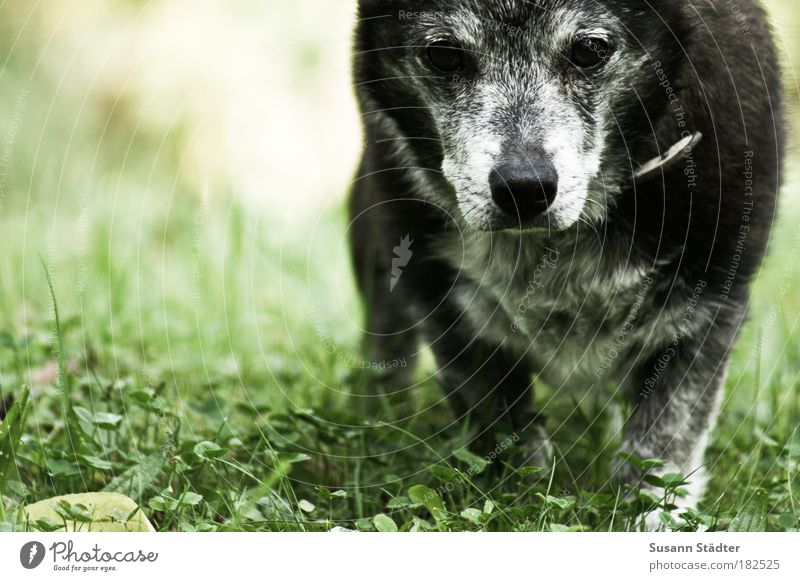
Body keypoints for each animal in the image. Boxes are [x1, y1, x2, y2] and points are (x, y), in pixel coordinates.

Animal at [348, 0, 780, 508]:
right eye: (445, 55)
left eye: (589, 50)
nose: (523, 188)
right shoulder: (443, 300)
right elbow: (502, 424)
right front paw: (522, 499)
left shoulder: (705, 304)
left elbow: (661, 444)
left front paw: (647, 514)